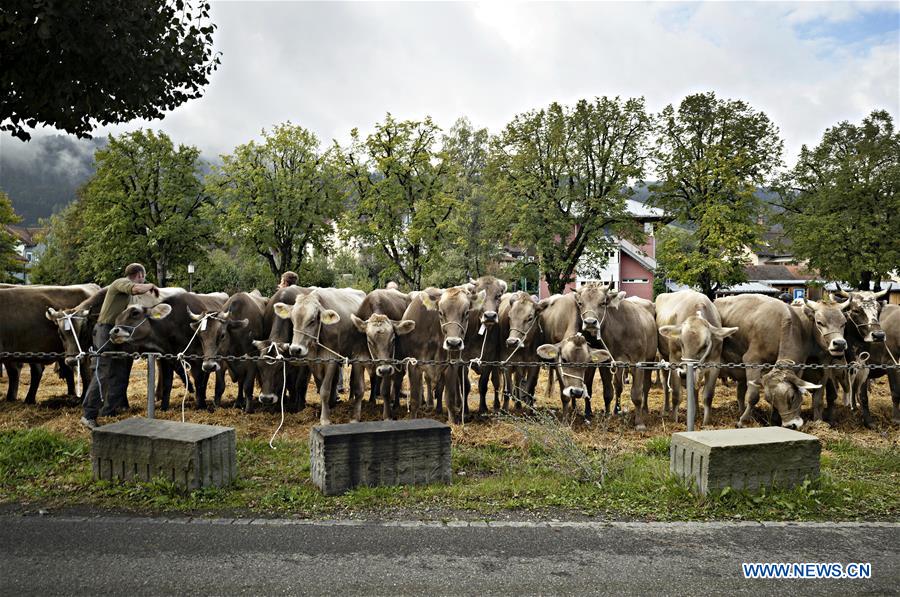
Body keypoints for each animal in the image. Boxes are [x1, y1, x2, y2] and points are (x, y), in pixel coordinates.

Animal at [274, 287, 366, 425]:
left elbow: (325, 390)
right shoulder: (313, 361)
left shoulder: (331, 359)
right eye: (292, 320)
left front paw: (325, 419)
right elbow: (320, 385)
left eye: (312, 321)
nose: (295, 349)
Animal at [349, 288, 414, 420]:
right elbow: (359, 389)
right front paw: (355, 417)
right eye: (369, 341)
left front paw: (387, 415)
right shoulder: (358, 359)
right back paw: (372, 400)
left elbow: (385, 390)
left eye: (393, 339)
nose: (384, 370)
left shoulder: (390, 363)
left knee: (397, 381)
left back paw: (395, 404)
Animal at [656, 290, 738, 425]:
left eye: (705, 345)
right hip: (663, 356)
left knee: (695, 388)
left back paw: (696, 411)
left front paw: (706, 422)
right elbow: (676, 395)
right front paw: (674, 420)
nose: (684, 374)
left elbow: (708, 396)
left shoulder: (714, 364)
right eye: (681, 342)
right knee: (665, 384)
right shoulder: (675, 361)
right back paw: (666, 409)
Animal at [715, 294, 851, 429]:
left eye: (844, 323)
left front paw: (818, 422)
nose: (791, 425)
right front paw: (743, 421)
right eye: (819, 322)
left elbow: (818, 398)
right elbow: (753, 396)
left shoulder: (814, 367)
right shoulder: (752, 360)